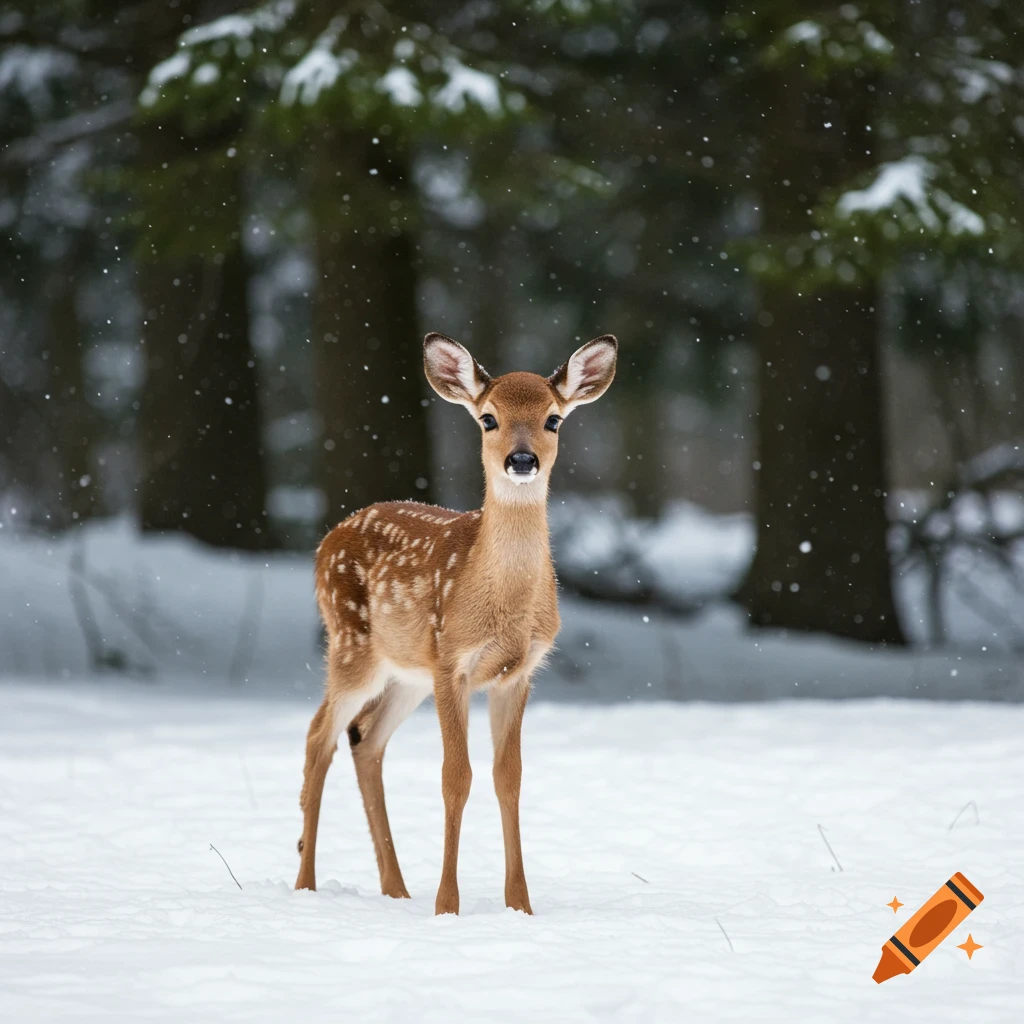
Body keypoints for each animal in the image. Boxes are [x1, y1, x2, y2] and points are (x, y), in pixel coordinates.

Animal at [295, 331, 618, 915]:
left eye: (553, 419)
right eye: (488, 418)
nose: (521, 459)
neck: (500, 603)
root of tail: (327, 539)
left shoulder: (518, 672)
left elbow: (508, 777)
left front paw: (520, 906)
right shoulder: (453, 661)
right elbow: (455, 778)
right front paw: (448, 906)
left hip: (406, 674)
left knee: (365, 739)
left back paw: (396, 889)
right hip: (353, 644)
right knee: (318, 735)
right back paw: (305, 883)